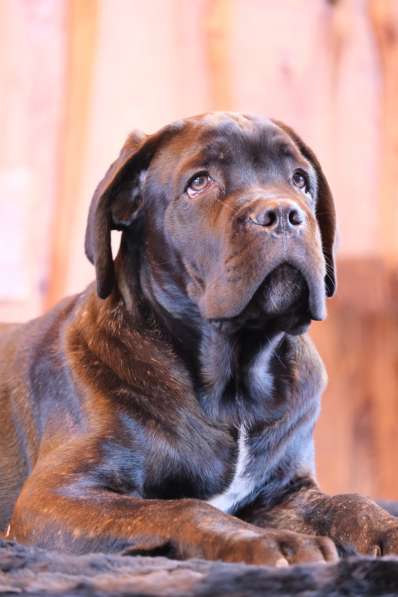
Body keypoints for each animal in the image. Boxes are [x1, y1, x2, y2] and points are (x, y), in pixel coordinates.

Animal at [0, 112, 398, 564]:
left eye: (299, 179)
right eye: (199, 182)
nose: (283, 213)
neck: (237, 385)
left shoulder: (284, 494)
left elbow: (349, 502)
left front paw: (386, 528)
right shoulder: (54, 496)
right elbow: (184, 507)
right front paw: (271, 542)